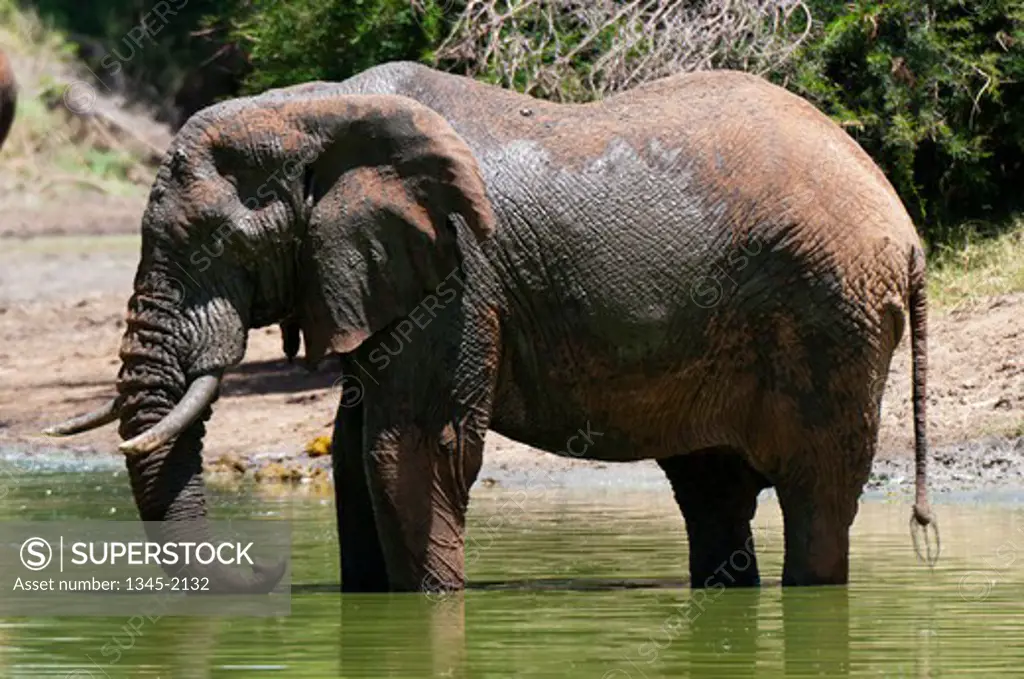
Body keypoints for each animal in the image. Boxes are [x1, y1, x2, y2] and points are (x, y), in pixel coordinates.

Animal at [46, 62, 937, 593]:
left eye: (213, 245)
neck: (314, 108)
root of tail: (905, 227)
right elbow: (354, 456)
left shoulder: (458, 274)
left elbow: (409, 452)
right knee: (713, 492)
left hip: (831, 316)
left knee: (816, 495)